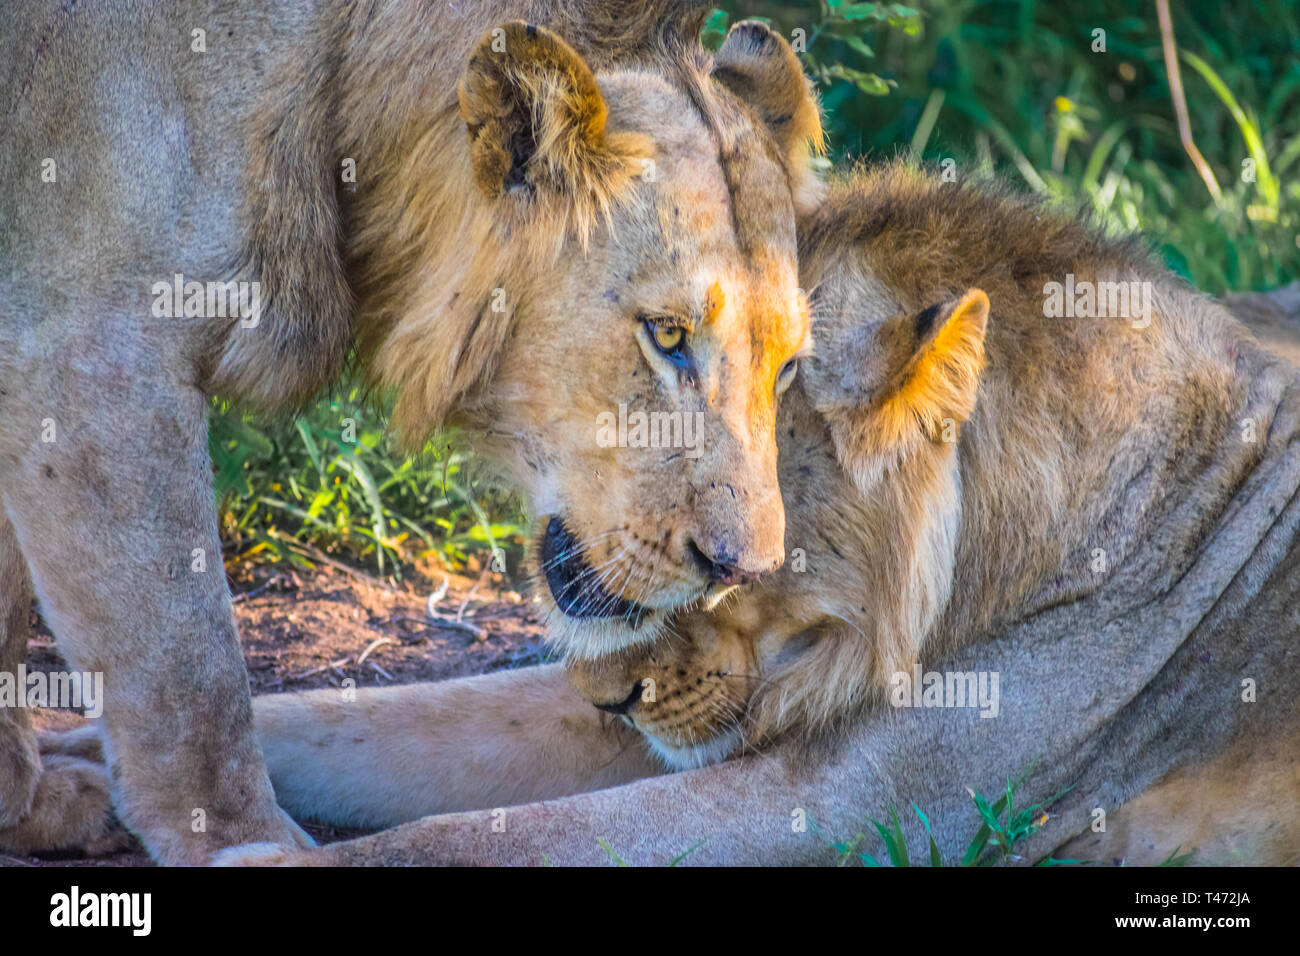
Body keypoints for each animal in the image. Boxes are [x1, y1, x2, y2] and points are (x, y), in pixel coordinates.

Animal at [0, 3, 823, 864]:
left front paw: (29, 804)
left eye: (787, 366)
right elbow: (188, 671)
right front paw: (241, 839)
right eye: (667, 335)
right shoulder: (91, 349)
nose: (744, 570)